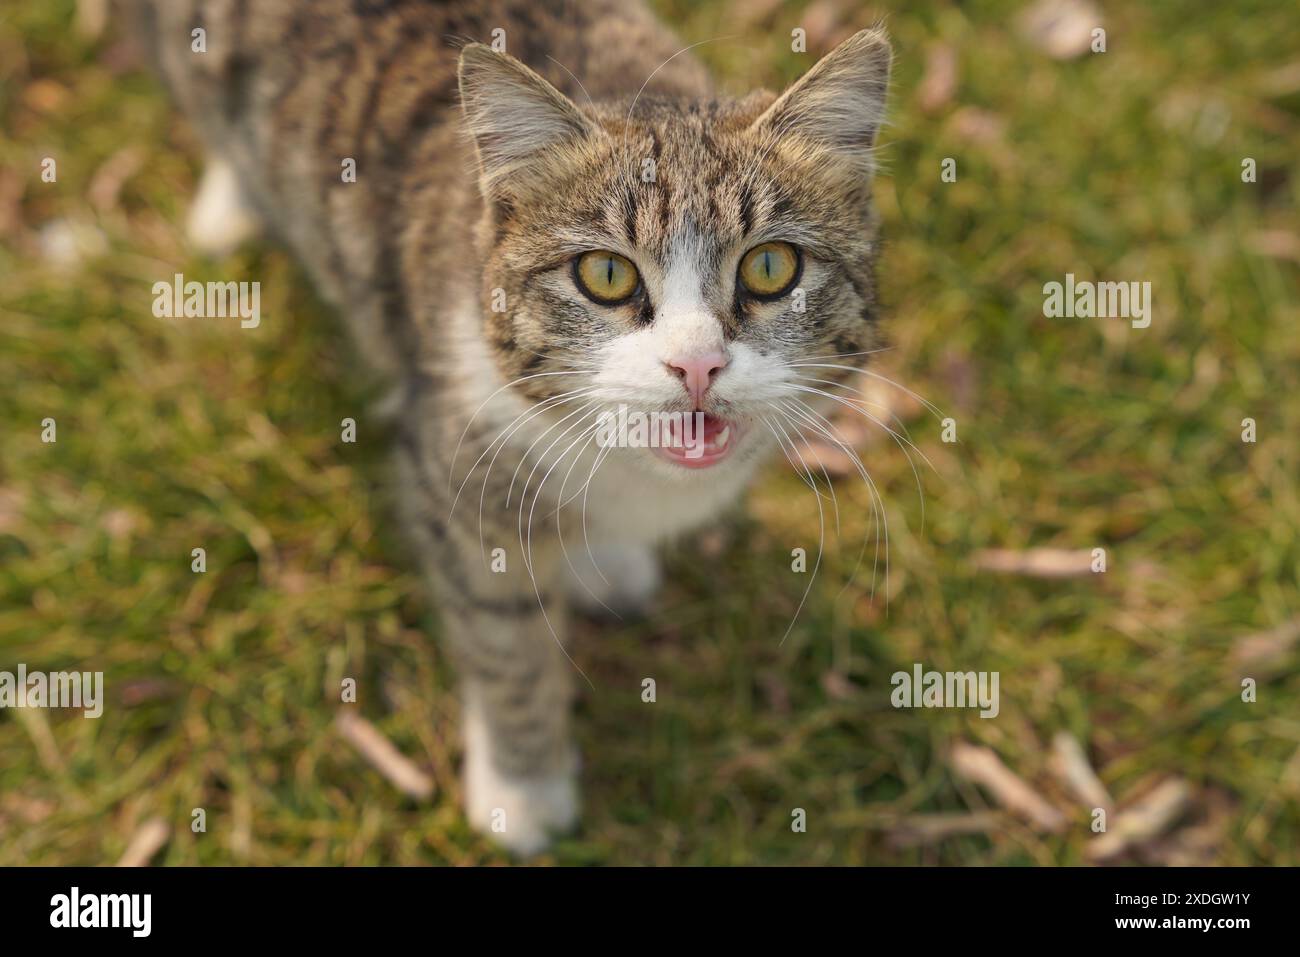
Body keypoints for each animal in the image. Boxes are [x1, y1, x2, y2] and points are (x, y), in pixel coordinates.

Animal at [122, 0, 894, 852]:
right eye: (605, 274)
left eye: (770, 267)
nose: (697, 365)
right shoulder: (460, 484)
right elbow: (508, 645)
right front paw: (523, 791)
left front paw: (603, 558)